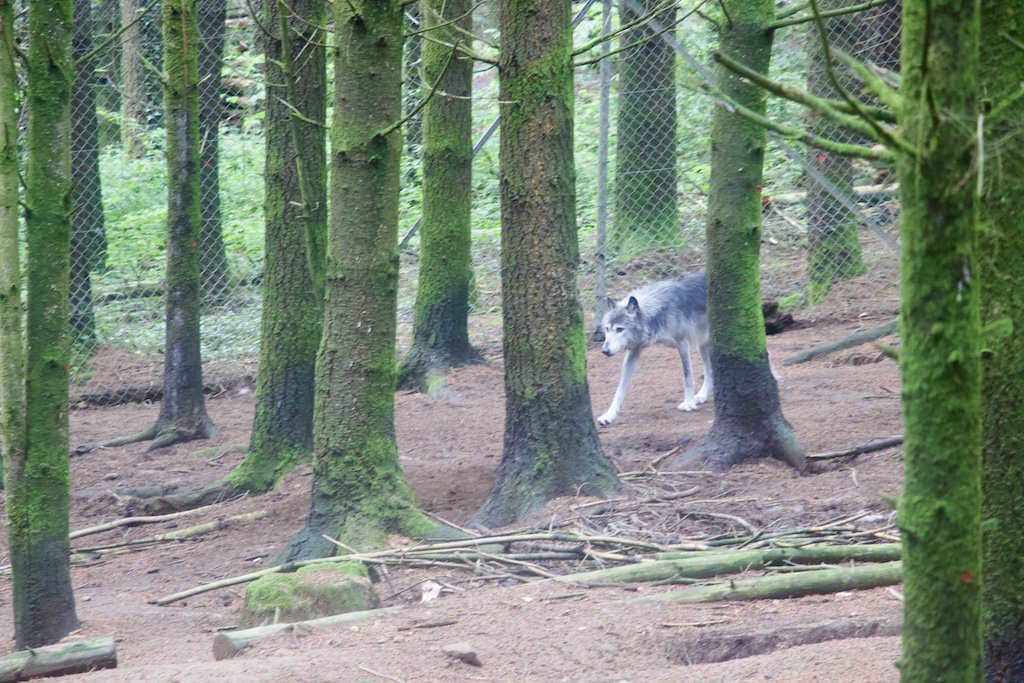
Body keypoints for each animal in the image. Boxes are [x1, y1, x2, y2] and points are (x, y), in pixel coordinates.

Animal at [596, 272, 711, 426]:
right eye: (607, 329)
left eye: (620, 329)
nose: (605, 351)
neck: (656, 314)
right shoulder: (633, 352)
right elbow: (619, 390)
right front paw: (609, 415)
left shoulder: (682, 343)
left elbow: (687, 377)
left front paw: (688, 403)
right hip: (702, 345)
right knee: (710, 370)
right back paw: (702, 395)